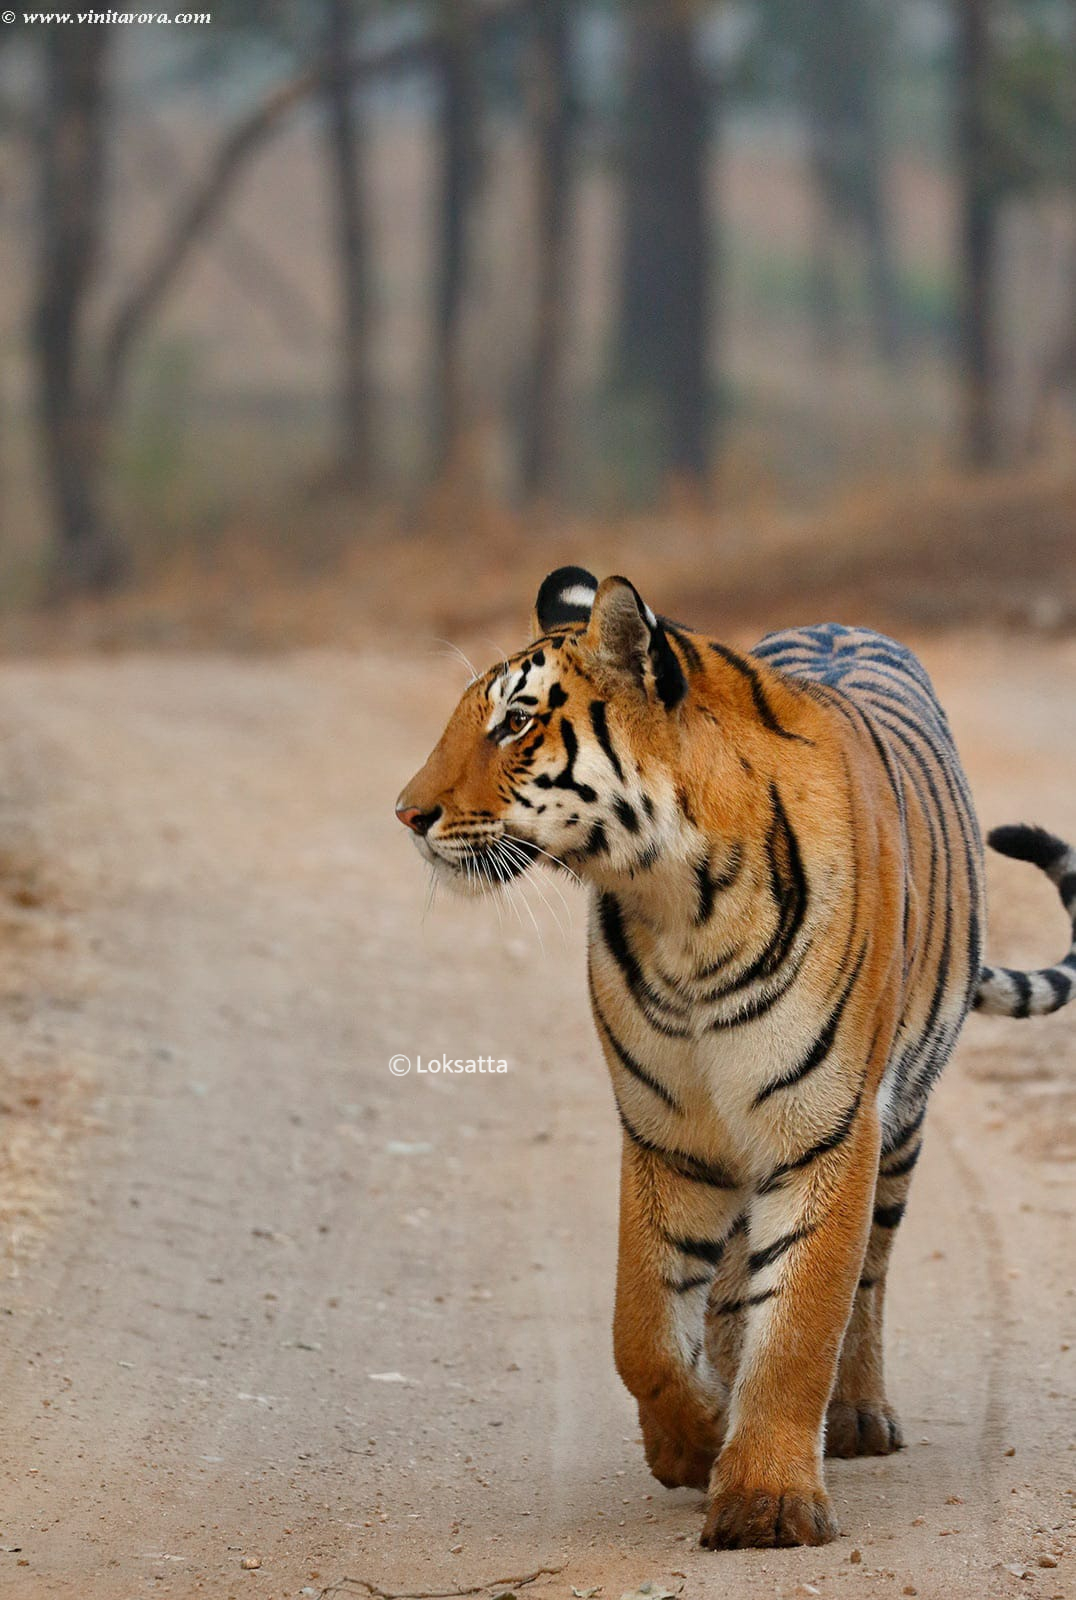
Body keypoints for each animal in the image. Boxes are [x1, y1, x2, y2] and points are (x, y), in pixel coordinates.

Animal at [395, 566, 1076, 1548]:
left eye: (516, 723)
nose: (407, 814)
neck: (681, 903)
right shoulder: (668, 1132)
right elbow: (641, 1328)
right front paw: (692, 1441)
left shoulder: (827, 1128)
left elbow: (800, 1326)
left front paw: (765, 1501)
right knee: (727, 1285)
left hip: (899, 1128)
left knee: (869, 1274)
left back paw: (858, 1414)